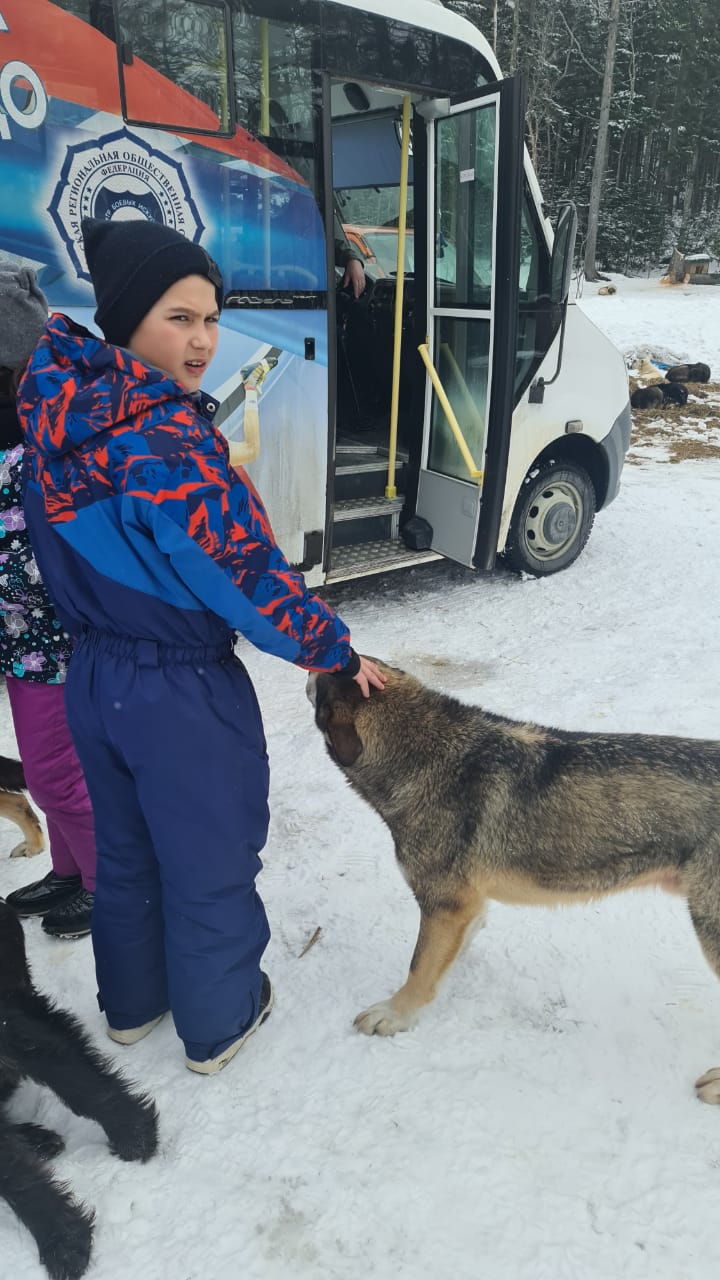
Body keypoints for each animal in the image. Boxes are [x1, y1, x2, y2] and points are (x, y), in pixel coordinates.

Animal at [0, 901, 157, 1280]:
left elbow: (79, 1083)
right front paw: (60, 1236)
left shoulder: (13, 1019)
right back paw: (35, 1138)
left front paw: (134, 1132)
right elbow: (15, 1176)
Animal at [307, 660, 717, 1100]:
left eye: (321, 675)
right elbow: (446, 953)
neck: (428, 752)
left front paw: (395, 1013)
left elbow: (419, 967)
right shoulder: (465, 906)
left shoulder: (444, 904)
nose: (311, 663)